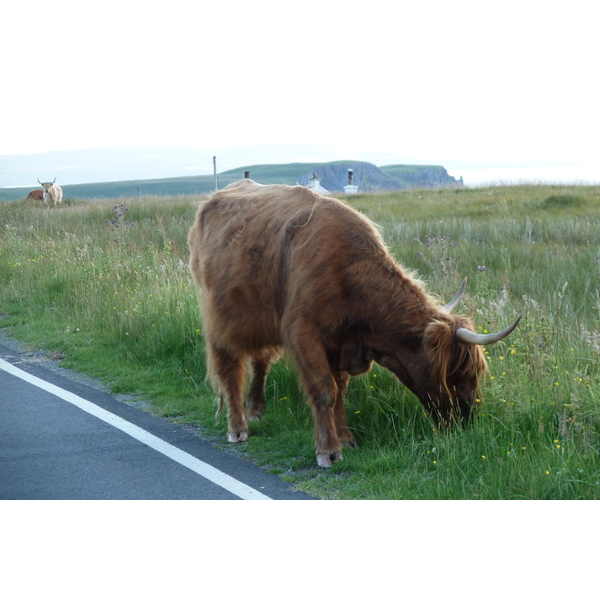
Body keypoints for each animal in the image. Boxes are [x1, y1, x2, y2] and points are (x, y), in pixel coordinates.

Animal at [188, 179, 520, 468]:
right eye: (455, 371)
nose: (467, 423)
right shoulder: (303, 333)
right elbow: (325, 390)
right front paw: (328, 450)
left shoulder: (340, 343)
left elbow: (340, 390)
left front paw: (346, 437)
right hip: (221, 319)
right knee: (230, 371)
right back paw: (238, 427)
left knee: (261, 360)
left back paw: (257, 409)